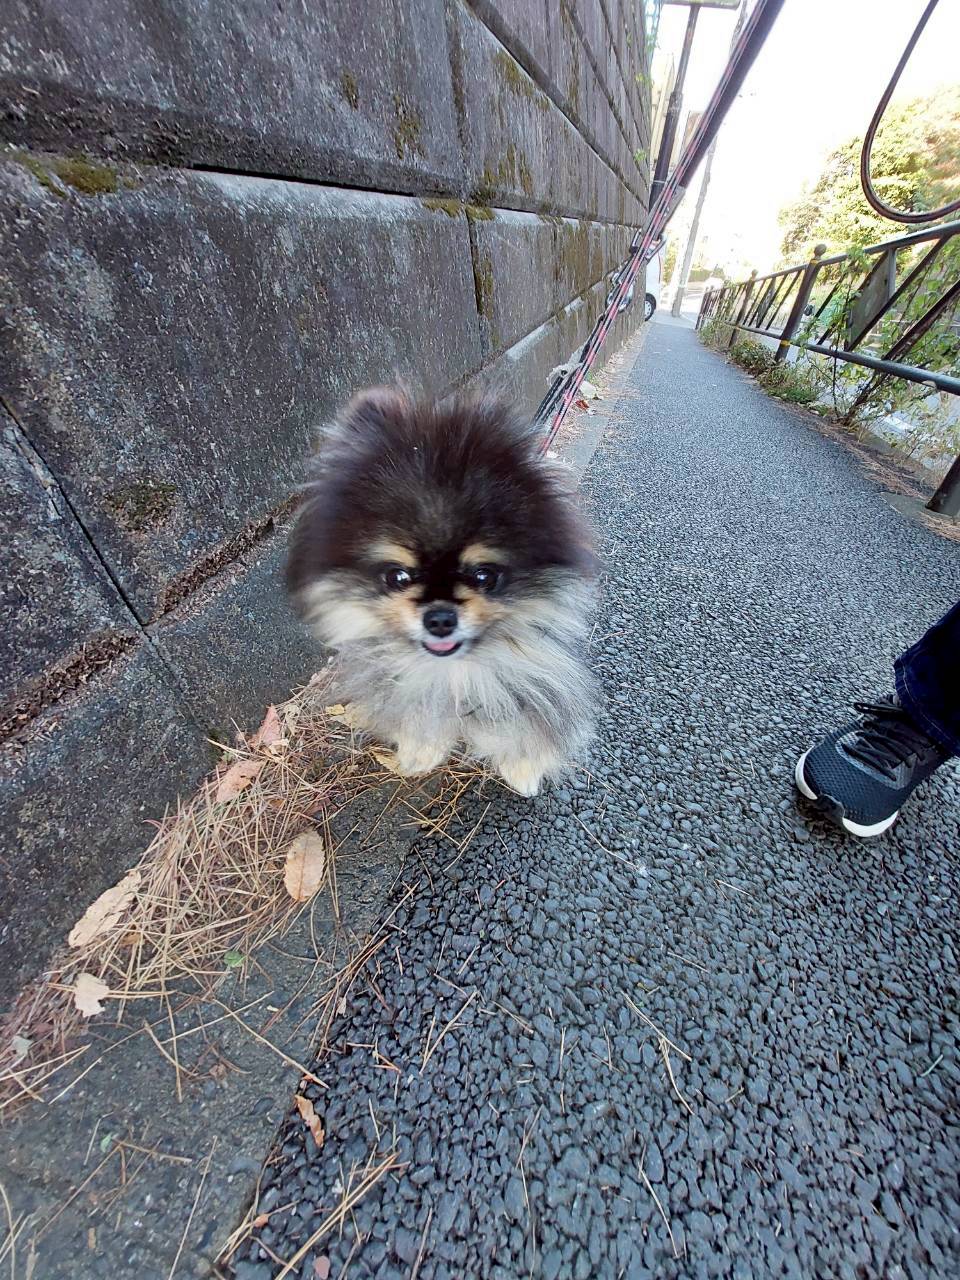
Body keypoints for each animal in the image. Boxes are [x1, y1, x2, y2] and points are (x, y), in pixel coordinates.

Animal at [286, 388, 597, 795]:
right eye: (398, 577)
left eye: (484, 576)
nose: (439, 619)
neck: (454, 670)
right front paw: (419, 751)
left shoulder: (535, 673)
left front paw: (524, 768)